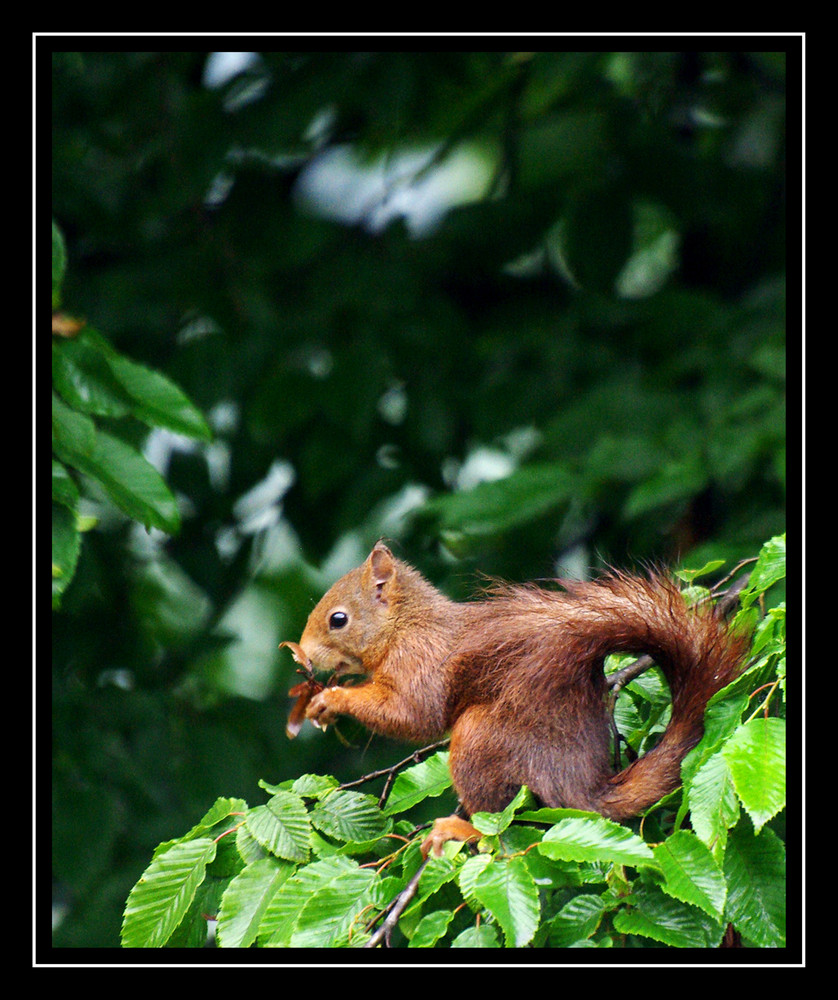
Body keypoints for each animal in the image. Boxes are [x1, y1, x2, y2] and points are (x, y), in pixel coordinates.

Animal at [286, 544, 752, 856]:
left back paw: (460, 831)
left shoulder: (420, 663)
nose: (302, 655)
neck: (405, 626)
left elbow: (413, 715)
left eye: (338, 619)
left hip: (480, 740)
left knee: (498, 821)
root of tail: (581, 789)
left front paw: (332, 699)